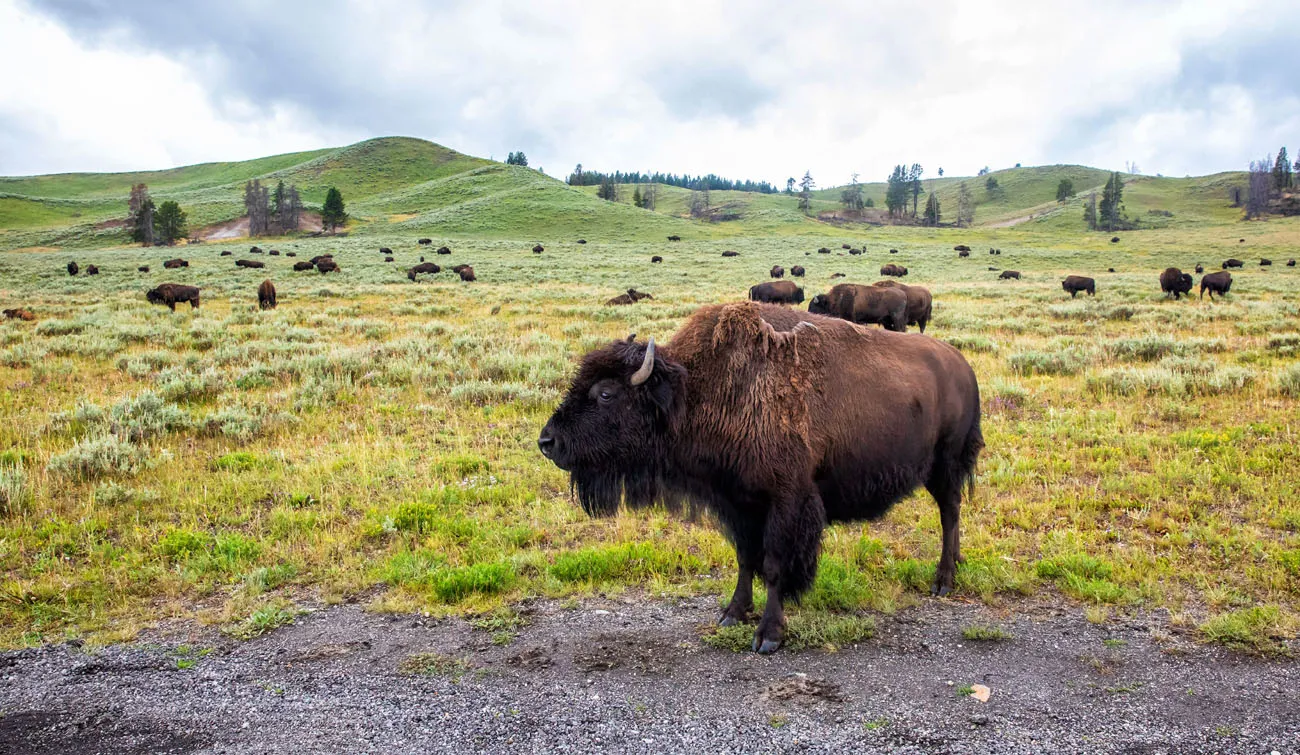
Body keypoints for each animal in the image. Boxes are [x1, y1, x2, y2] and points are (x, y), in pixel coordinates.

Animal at [537, 303, 983, 653]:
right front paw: (732, 614)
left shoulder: (784, 502)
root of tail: (962, 366)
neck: (695, 391)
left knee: (949, 512)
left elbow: (772, 564)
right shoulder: (738, 504)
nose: (547, 441)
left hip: (945, 466)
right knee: (952, 513)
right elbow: (745, 558)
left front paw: (769, 635)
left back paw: (943, 581)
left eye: (606, 394)